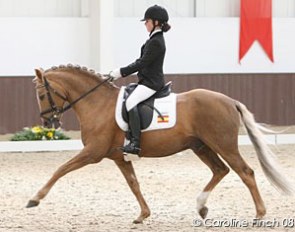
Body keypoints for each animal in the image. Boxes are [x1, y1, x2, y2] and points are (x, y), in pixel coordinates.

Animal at [27, 65, 294, 223]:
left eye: (41, 94)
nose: (49, 122)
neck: (97, 103)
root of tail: (230, 101)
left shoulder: (92, 153)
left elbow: (60, 169)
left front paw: (35, 199)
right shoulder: (119, 157)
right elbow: (134, 184)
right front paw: (143, 215)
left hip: (223, 145)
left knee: (245, 172)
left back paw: (259, 215)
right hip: (201, 146)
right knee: (220, 170)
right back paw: (201, 207)